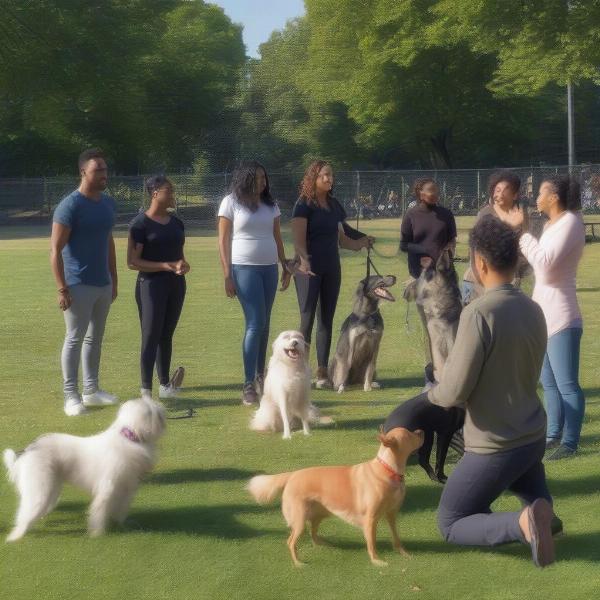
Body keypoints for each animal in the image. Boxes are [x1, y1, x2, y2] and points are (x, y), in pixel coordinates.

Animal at [3, 396, 166, 540]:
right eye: (154, 412)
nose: (163, 411)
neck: (130, 438)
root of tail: (27, 452)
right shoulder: (107, 488)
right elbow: (99, 511)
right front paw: (97, 534)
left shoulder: (126, 489)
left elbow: (120, 509)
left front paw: (119, 524)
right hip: (39, 488)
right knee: (25, 513)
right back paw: (15, 537)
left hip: (51, 487)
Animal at [246, 428, 424, 564]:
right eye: (409, 435)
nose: (421, 431)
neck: (388, 470)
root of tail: (292, 474)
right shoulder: (370, 519)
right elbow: (371, 543)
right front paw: (376, 561)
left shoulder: (392, 514)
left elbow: (396, 537)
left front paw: (404, 553)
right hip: (299, 520)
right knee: (291, 542)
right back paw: (298, 563)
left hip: (320, 513)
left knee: (313, 533)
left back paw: (325, 544)